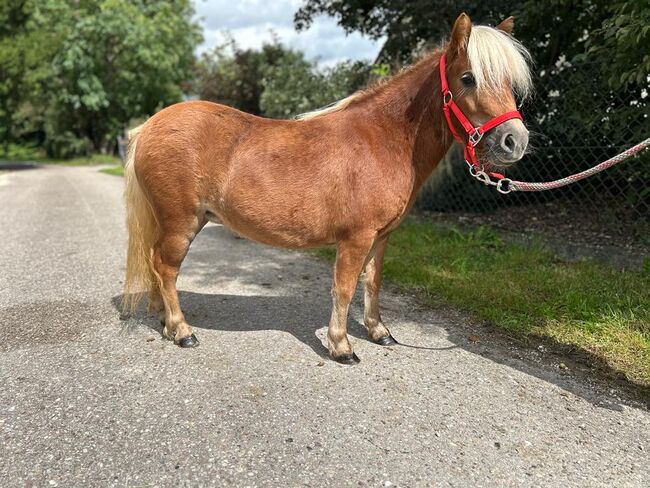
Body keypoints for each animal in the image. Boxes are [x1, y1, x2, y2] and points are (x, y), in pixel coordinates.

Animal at [123, 14, 532, 362]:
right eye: (468, 78)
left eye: (509, 83)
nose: (514, 141)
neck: (384, 139)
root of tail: (149, 126)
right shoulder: (356, 238)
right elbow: (344, 288)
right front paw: (341, 346)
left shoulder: (381, 237)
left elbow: (372, 283)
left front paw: (379, 332)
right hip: (182, 221)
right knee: (165, 266)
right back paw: (181, 330)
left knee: (158, 264)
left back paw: (163, 320)